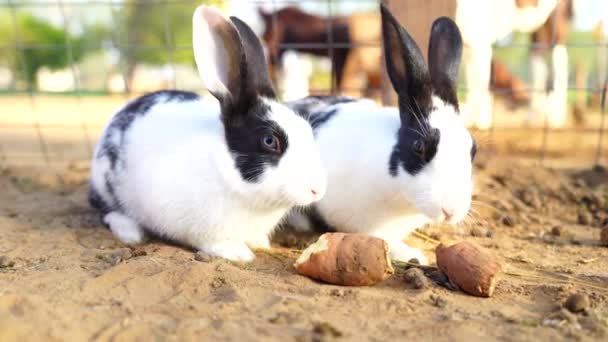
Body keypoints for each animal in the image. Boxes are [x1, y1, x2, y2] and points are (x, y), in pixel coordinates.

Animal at [88, 5, 326, 262]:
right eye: (270, 140)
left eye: (307, 129)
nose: (318, 190)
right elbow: (210, 242)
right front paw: (239, 254)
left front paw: (259, 243)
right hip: (106, 185)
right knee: (105, 210)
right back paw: (130, 232)